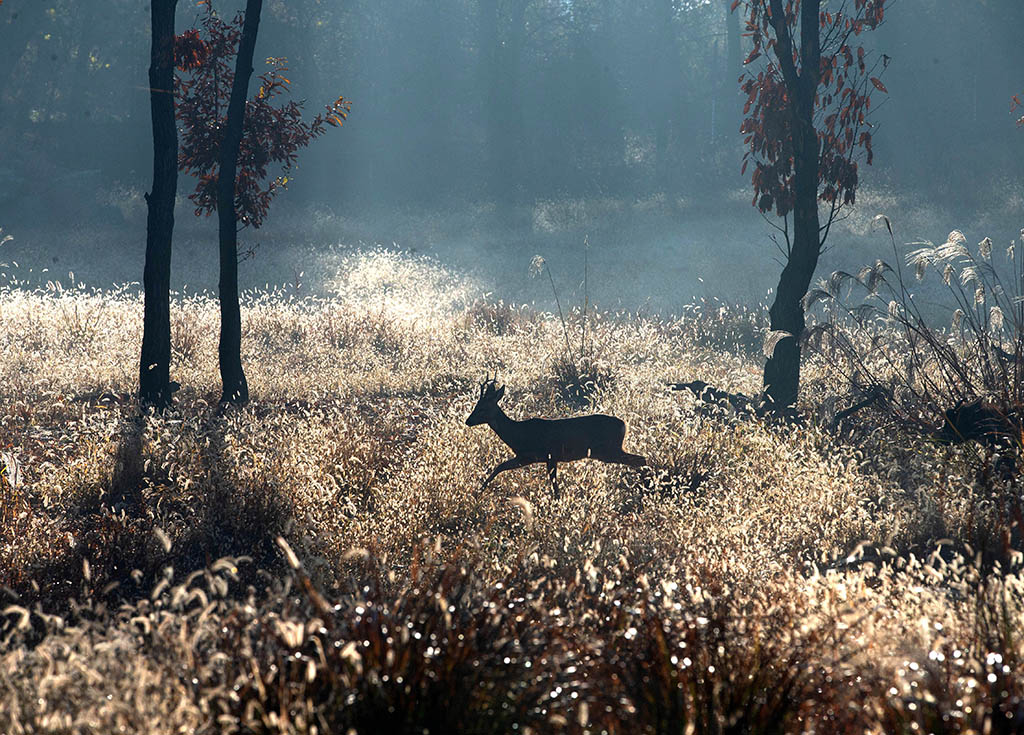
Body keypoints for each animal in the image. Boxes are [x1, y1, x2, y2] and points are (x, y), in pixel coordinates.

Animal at [466, 380, 643, 495]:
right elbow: (499, 467)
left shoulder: (548, 455)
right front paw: (479, 491)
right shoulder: (526, 458)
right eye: (476, 405)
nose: (468, 421)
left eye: (482, 408)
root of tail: (624, 424)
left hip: (608, 450)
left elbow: (554, 486)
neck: (518, 434)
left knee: (640, 459)